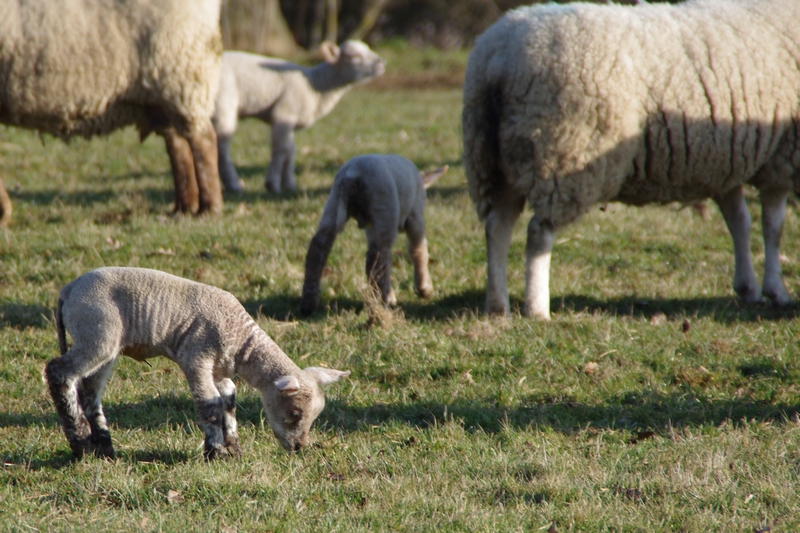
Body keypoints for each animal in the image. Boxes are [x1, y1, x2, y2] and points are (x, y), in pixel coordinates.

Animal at [0, 0, 225, 225]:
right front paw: (4, 212)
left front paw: (3, 213)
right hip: (161, 97)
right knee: (178, 145)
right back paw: (184, 208)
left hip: (182, 74)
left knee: (203, 141)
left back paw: (209, 208)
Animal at [45, 266, 348, 458]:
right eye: (295, 413)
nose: (298, 447)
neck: (241, 344)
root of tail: (68, 289)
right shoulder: (197, 358)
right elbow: (209, 403)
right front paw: (216, 452)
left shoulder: (220, 369)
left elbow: (228, 399)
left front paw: (233, 447)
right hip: (97, 330)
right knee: (59, 372)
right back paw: (80, 441)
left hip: (106, 344)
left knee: (90, 390)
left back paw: (104, 448)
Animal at [212, 41, 388, 195]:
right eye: (353, 56)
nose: (381, 62)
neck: (316, 85)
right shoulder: (284, 113)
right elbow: (280, 149)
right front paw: (272, 184)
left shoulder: (291, 118)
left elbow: (291, 150)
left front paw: (289, 184)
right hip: (223, 104)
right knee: (221, 148)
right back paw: (234, 184)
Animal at [302, 154, 450, 314]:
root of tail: (351, 176)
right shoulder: (415, 216)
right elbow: (418, 250)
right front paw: (424, 288)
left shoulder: (371, 227)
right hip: (383, 207)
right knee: (378, 257)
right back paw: (385, 300)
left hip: (334, 203)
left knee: (318, 247)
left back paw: (309, 301)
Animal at [460, 0, 800, 320]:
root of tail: (498, 59)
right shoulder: (781, 155)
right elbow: (773, 226)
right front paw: (776, 290)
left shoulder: (725, 162)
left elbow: (739, 221)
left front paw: (748, 287)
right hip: (563, 156)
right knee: (538, 234)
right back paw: (537, 308)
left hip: (491, 160)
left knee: (497, 227)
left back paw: (497, 304)